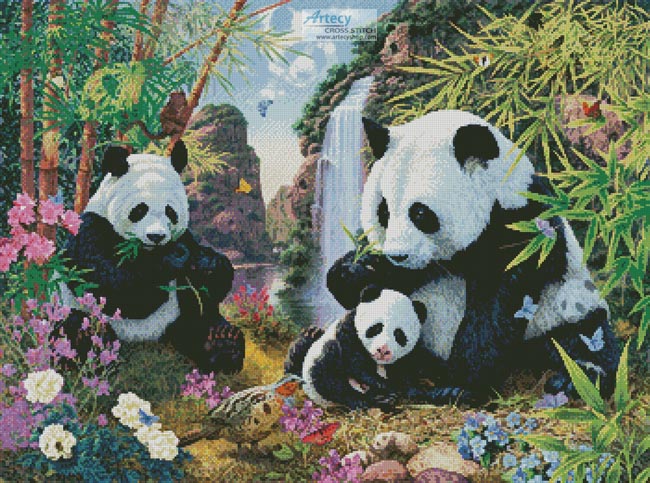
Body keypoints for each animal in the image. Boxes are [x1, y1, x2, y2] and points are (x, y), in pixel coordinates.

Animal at [58, 141, 245, 374]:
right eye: (140, 209)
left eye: (170, 211)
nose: (156, 236)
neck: (145, 252)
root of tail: (150, 340)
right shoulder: (90, 231)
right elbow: (114, 286)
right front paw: (173, 258)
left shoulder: (185, 235)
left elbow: (210, 288)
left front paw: (207, 263)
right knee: (77, 326)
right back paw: (87, 348)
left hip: (178, 317)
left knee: (199, 321)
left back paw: (222, 345)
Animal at [284, 286, 428, 410]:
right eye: (377, 328)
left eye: (399, 334)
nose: (383, 350)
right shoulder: (349, 330)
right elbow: (356, 362)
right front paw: (383, 384)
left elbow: (405, 368)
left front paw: (413, 390)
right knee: (329, 378)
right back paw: (368, 400)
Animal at [327, 110, 620, 403]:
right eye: (384, 211)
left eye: (420, 213)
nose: (398, 255)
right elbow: (369, 289)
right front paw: (356, 270)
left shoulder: (523, 229)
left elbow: (494, 306)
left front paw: (462, 384)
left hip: (564, 309)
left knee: (585, 340)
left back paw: (574, 379)